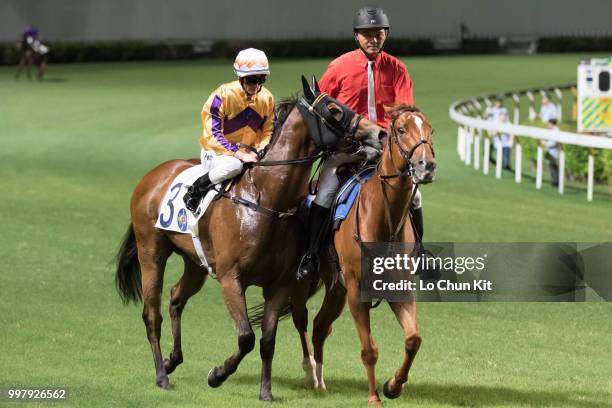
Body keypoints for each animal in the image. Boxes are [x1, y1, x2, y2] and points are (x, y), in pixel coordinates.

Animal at [113, 79, 382, 402]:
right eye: (334, 109)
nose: (379, 133)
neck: (265, 201)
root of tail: (153, 175)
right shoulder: (231, 278)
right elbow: (246, 337)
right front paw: (217, 374)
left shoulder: (279, 285)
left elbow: (267, 341)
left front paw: (265, 391)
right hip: (151, 251)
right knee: (152, 314)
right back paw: (161, 376)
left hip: (196, 263)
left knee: (176, 298)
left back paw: (171, 360)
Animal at [290, 105, 436, 404]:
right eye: (401, 129)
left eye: (430, 130)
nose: (426, 165)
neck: (384, 218)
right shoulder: (358, 292)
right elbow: (369, 349)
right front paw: (373, 398)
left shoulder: (398, 288)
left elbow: (413, 339)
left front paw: (393, 385)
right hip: (304, 284)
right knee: (301, 319)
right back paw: (310, 373)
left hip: (336, 289)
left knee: (321, 325)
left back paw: (320, 381)